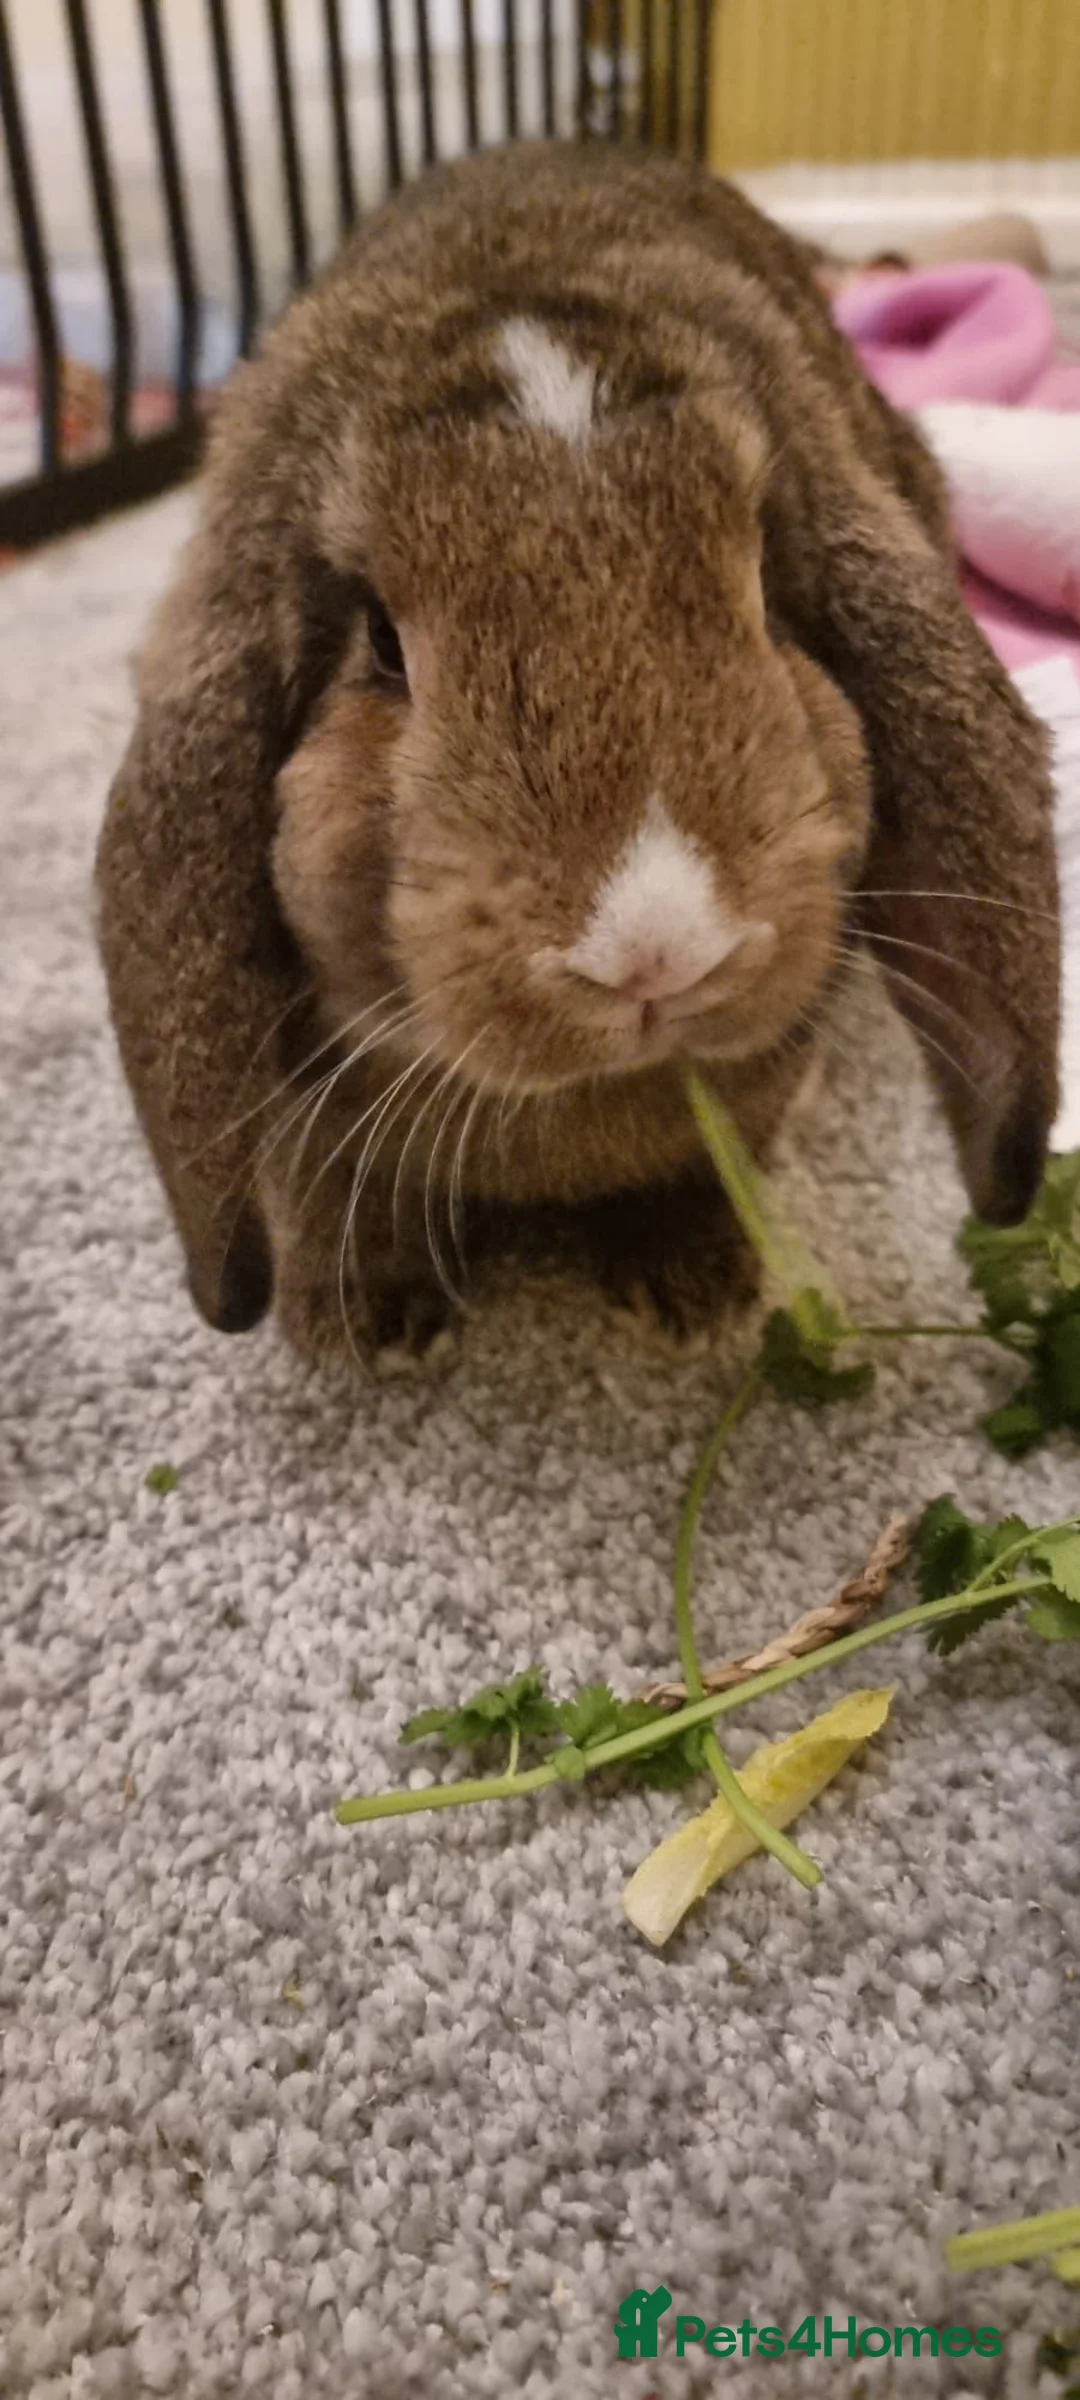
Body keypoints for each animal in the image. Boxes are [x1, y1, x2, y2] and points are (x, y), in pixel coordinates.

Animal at [95, 140, 1060, 1363]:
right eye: (381, 645)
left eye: (765, 595)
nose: (658, 953)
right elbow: (335, 1192)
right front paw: (373, 1325)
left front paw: (693, 1287)